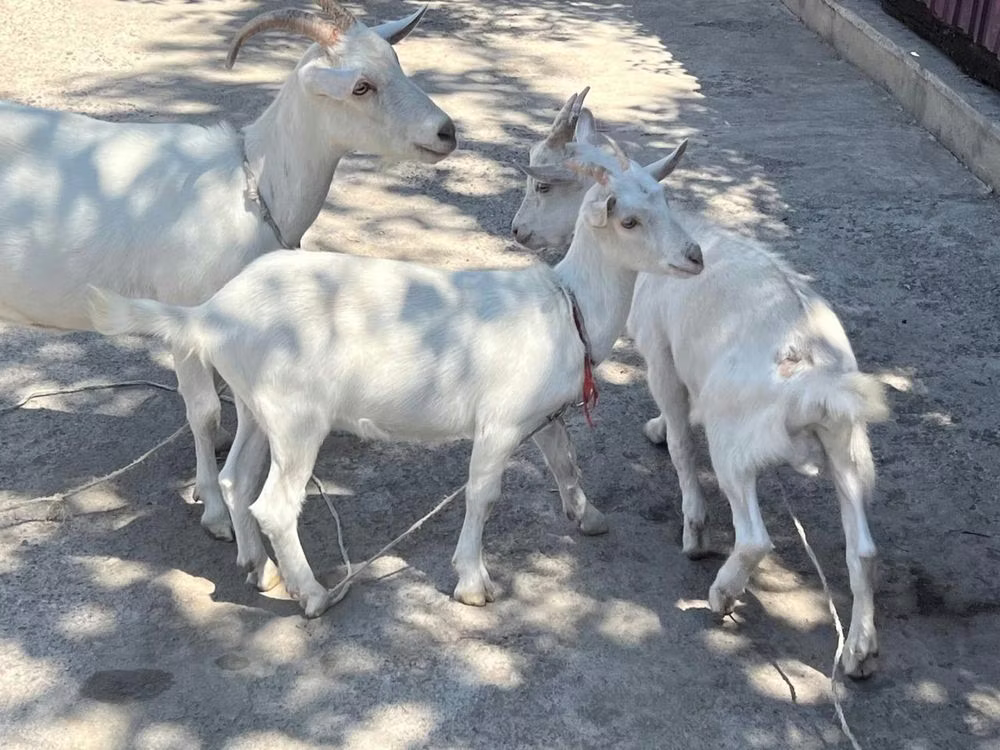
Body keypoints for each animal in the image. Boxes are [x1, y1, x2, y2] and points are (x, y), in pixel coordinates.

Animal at [0, 1, 456, 542]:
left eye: (397, 63)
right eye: (361, 86)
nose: (446, 131)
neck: (251, 183)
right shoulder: (181, 311)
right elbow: (204, 411)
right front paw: (217, 513)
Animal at [88, 141, 705, 618]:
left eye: (665, 200)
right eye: (628, 219)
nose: (695, 256)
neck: (566, 304)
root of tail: (211, 313)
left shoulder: (543, 414)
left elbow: (565, 460)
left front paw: (589, 517)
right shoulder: (500, 423)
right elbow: (483, 494)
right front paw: (473, 583)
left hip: (257, 406)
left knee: (238, 479)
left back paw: (261, 570)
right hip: (297, 418)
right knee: (276, 505)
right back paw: (313, 594)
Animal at [512, 94, 888, 679]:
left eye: (544, 186)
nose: (517, 231)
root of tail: (811, 369)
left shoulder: (661, 355)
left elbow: (682, 444)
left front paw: (691, 520)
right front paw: (658, 428)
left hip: (736, 443)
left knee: (754, 535)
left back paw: (720, 592)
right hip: (849, 446)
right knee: (863, 551)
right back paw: (859, 652)